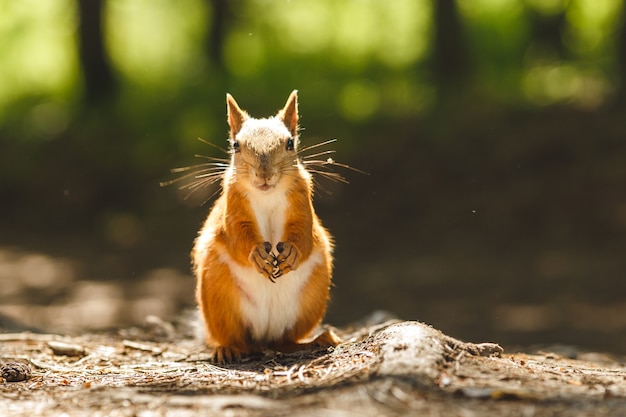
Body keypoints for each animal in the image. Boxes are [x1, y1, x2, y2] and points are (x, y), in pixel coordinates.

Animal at [193, 90, 342, 360]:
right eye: (236, 145)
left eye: (290, 143)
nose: (264, 175)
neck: (267, 195)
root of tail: (263, 338)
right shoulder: (232, 211)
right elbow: (238, 236)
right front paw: (256, 254)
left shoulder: (302, 205)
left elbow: (304, 234)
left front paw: (292, 252)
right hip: (218, 296)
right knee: (237, 339)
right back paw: (229, 349)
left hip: (312, 297)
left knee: (286, 340)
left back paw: (315, 340)